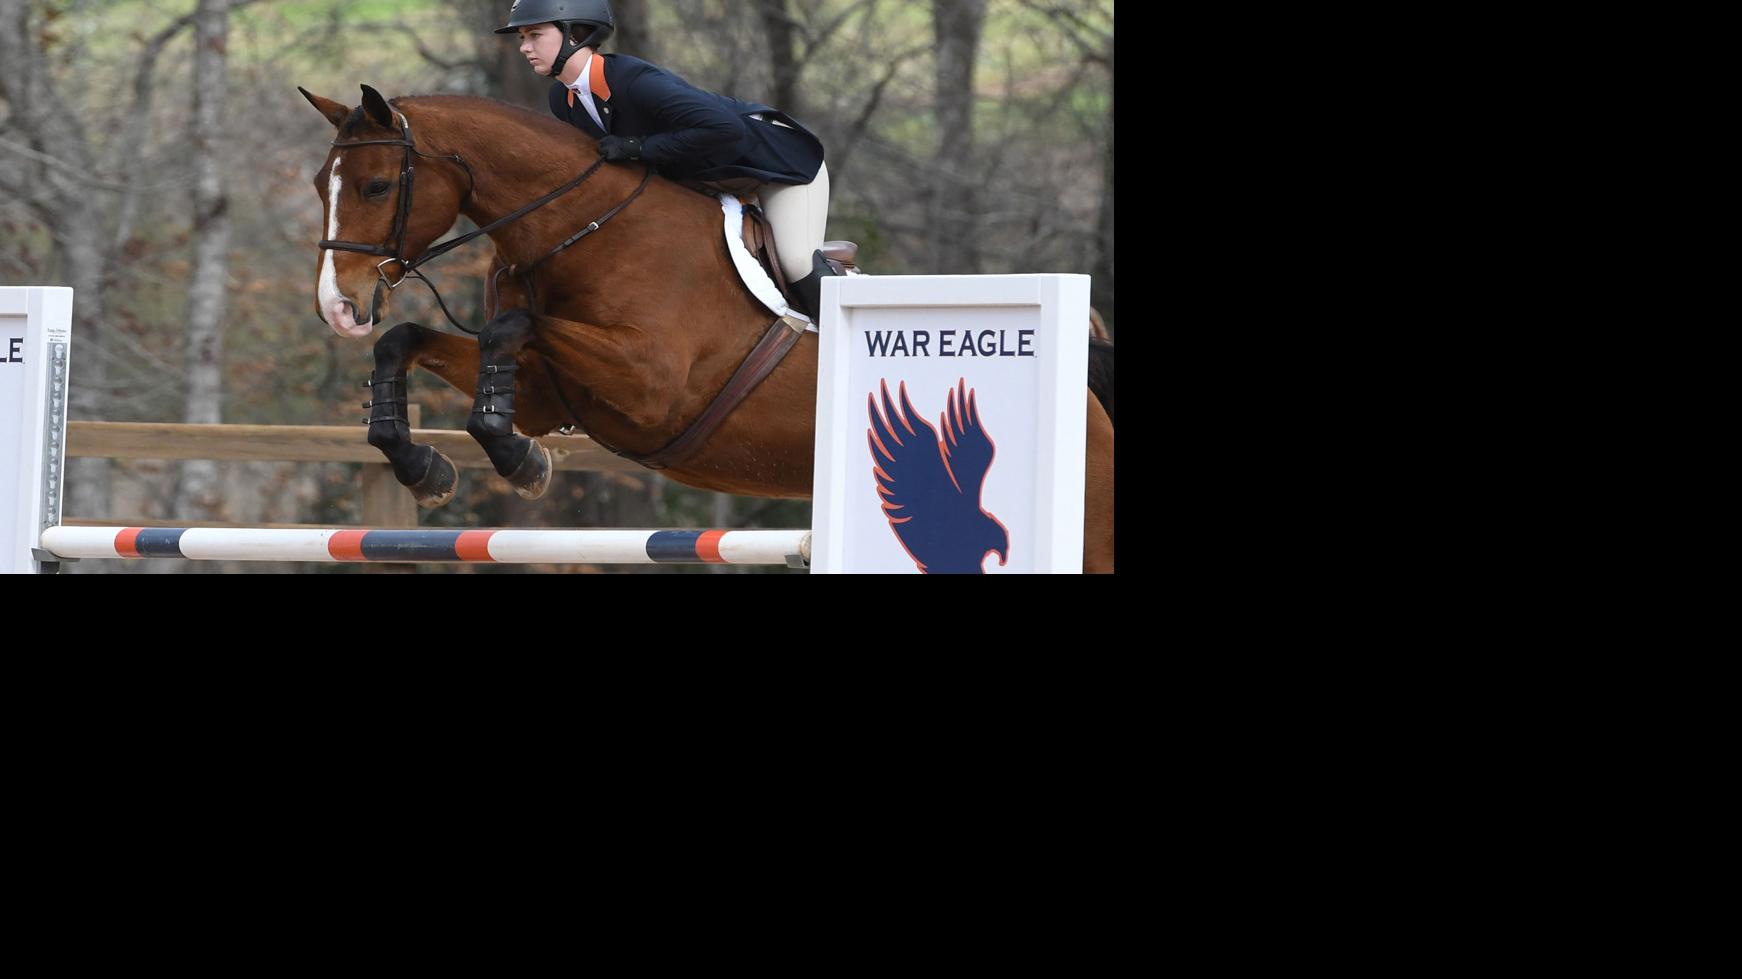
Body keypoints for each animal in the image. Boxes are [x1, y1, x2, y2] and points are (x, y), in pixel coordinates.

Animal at [302, 85, 1114, 573]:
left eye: (377, 185)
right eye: (319, 185)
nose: (338, 305)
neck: (579, 228)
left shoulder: (650, 384)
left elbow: (511, 323)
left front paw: (515, 459)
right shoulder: (547, 393)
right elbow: (408, 341)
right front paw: (427, 466)